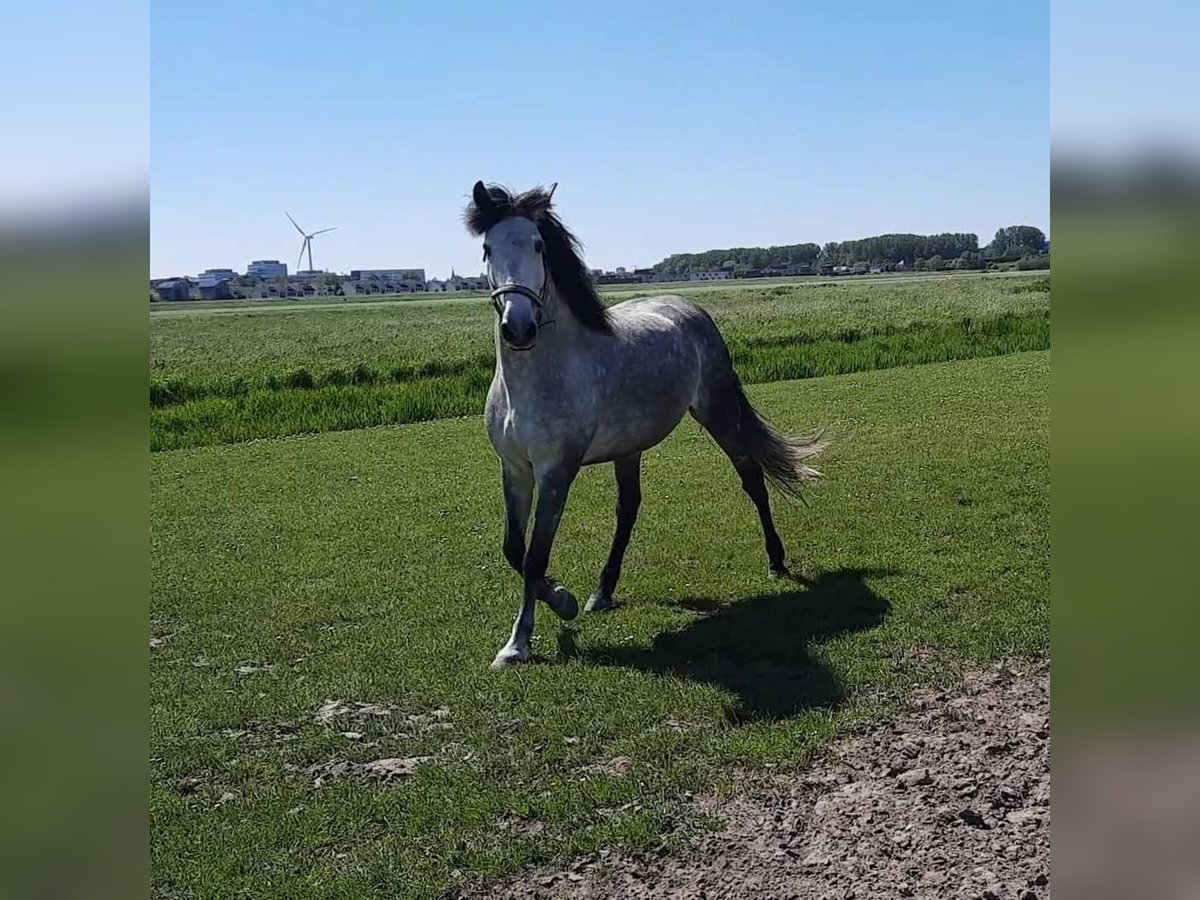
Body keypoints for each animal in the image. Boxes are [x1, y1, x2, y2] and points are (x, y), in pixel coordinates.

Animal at [460, 180, 825, 672]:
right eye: (487, 249)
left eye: (538, 245)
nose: (518, 327)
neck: (534, 379)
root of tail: (688, 307)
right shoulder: (515, 469)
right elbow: (514, 550)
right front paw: (564, 600)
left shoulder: (556, 473)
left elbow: (535, 557)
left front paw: (520, 641)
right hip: (629, 448)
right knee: (628, 508)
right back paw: (602, 592)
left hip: (716, 412)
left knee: (751, 476)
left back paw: (776, 560)